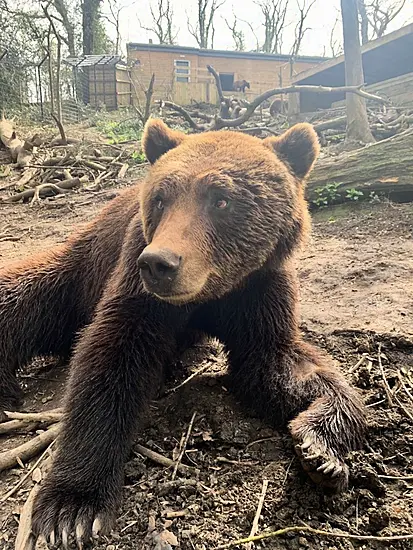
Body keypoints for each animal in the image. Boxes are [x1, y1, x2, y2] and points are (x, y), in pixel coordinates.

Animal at [0, 121, 366, 548]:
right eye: (161, 199)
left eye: (220, 199)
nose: (160, 263)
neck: (212, 293)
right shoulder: (137, 283)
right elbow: (110, 361)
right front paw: (71, 509)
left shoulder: (258, 288)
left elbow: (278, 365)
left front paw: (319, 450)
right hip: (77, 272)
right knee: (22, 298)